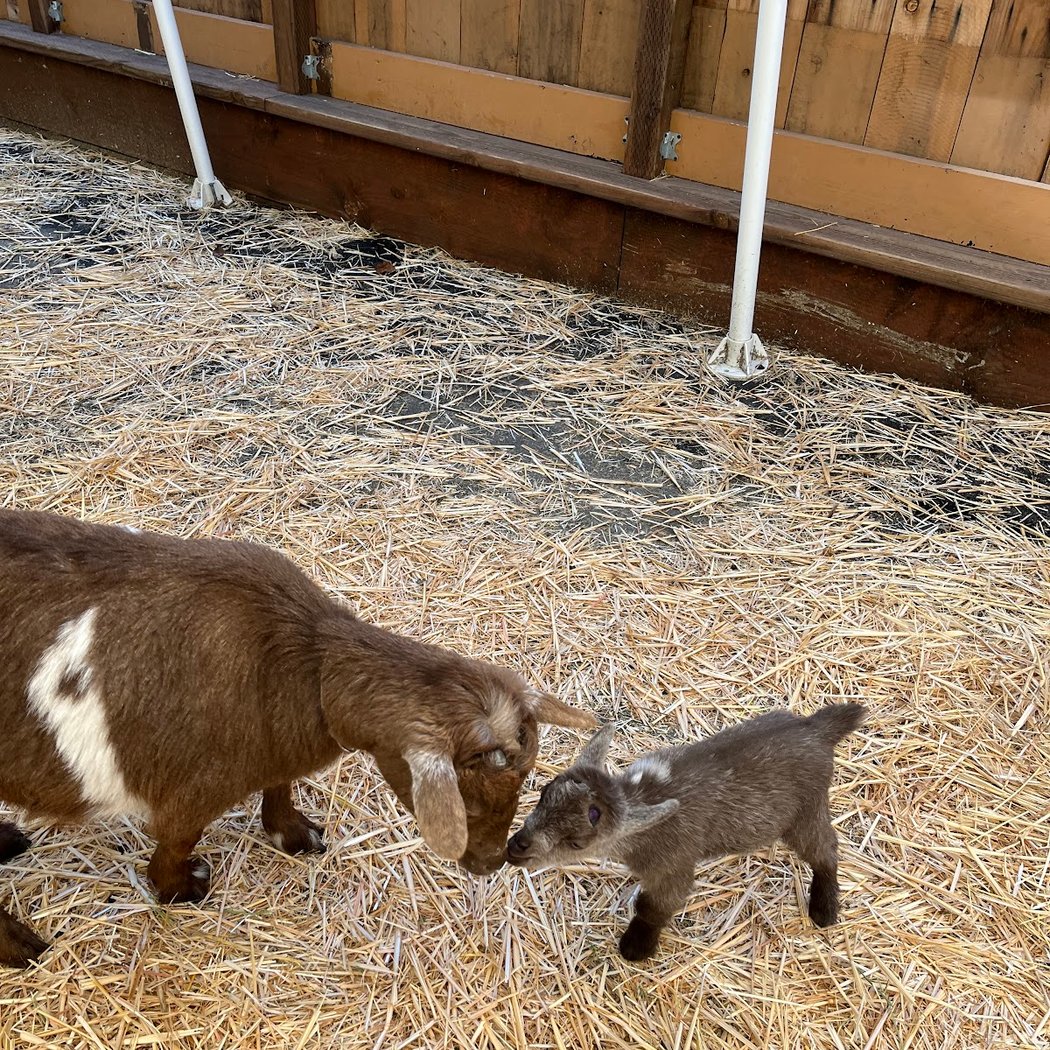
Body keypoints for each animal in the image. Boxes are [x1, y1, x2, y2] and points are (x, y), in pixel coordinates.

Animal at [0, 508, 595, 968]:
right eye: (466, 802)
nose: (494, 861)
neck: (306, 661)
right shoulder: (189, 796)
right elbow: (174, 847)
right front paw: (183, 890)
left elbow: (281, 783)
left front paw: (294, 834)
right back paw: (22, 947)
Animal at [507, 703, 865, 961]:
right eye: (544, 793)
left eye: (577, 842)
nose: (516, 846)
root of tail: (817, 729)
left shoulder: (673, 864)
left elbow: (656, 906)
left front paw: (636, 947)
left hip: (806, 810)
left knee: (825, 849)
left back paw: (824, 908)